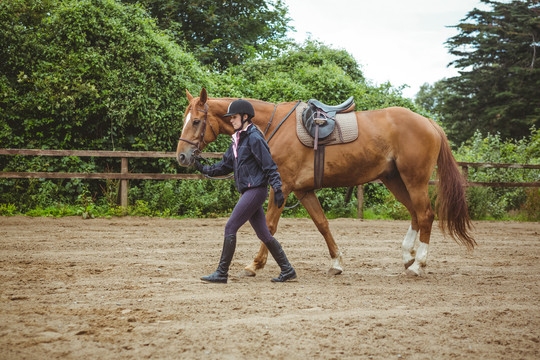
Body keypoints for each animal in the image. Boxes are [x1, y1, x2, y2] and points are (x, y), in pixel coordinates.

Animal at [175, 88, 474, 278]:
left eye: (197, 121)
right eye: (185, 119)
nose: (182, 156)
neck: (271, 125)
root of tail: (428, 122)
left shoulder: (282, 186)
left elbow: (269, 227)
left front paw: (255, 264)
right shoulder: (304, 190)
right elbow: (322, 224)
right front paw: (336, 262)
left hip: (414, 180)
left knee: (425, 215)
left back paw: (417, 264)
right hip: (395, 180)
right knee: (414, 213)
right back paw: (407, 256)